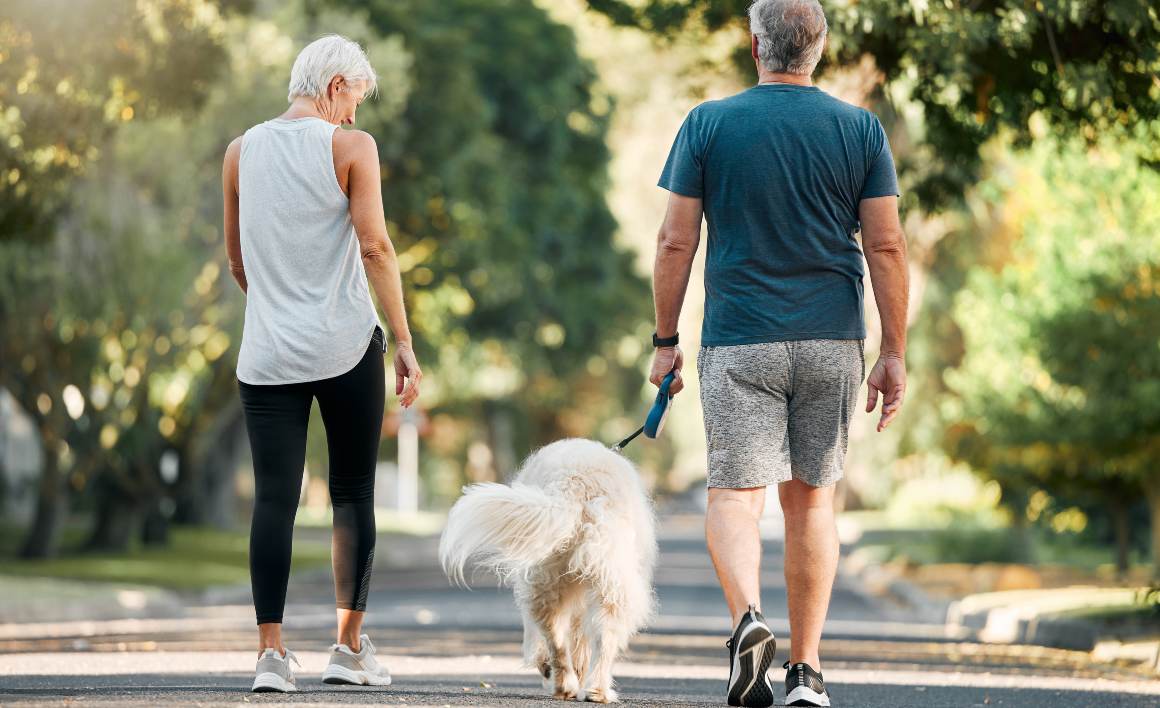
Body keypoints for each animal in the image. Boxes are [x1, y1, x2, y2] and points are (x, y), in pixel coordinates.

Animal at [438, 438, 658, 696]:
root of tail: (575, 483)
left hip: (556, 579)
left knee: (561, 635)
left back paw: (573, 685)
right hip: (595, 580)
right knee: (595, 636)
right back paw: (586, 687)